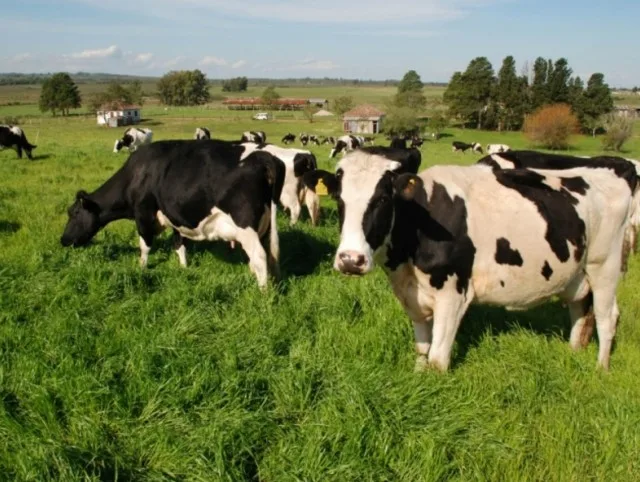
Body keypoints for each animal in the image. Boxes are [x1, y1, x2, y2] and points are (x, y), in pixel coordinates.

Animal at [61, 140, 286, 290]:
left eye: (74, 213)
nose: (63, 240)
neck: (137, 174)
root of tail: (264, 156)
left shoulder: (143, 213)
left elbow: (145, 245)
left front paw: (142, 268)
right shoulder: (175, 216)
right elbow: (179, 244)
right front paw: (184, 268)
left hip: (245, 225)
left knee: (259, 255)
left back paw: (262, 293)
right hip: (264, 225)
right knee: (262, 257)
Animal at [310, 149, 636, 370]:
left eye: (382, 200)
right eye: (339, 199)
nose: (350, 260)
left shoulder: (453, 295)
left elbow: (437, 359)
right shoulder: (413, 295)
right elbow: (422, 350)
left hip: (604, 267)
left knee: (607, 317)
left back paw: (600, 369)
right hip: (578, 274)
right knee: (581, 311)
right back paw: (574, 353)